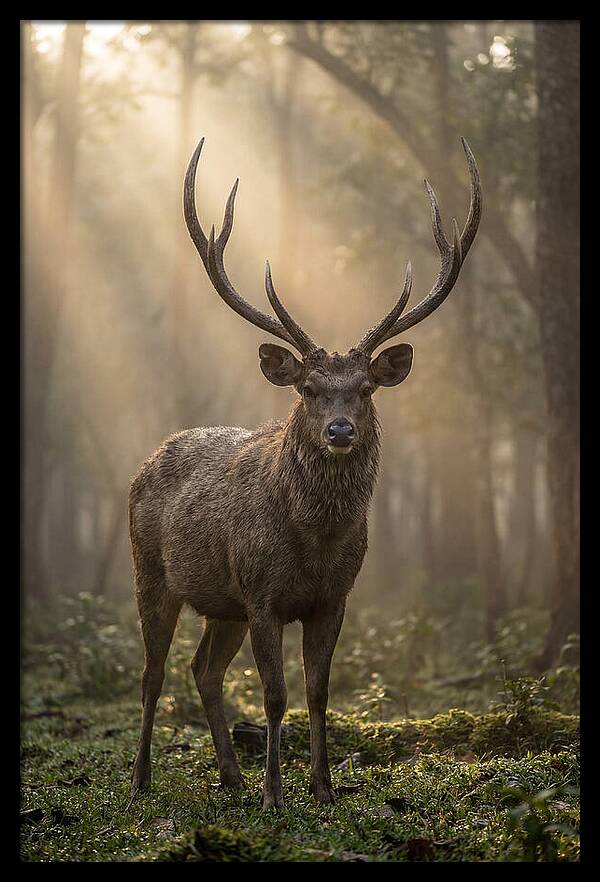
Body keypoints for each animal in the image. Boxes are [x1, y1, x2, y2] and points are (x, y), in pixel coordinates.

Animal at [129, 136, 481, 810]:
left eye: (366, 389)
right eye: (311, 389)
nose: (340, 431)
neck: (313, 543)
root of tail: (147, 460)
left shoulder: (333, 598)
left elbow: (318, 691)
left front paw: (322, 787)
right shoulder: (262, 593)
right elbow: (275, 695)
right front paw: (275, 795)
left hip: (222, 603)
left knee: (203, 670)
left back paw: (230, 775)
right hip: (152, 574)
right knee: (154, 672)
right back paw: (141, 780)